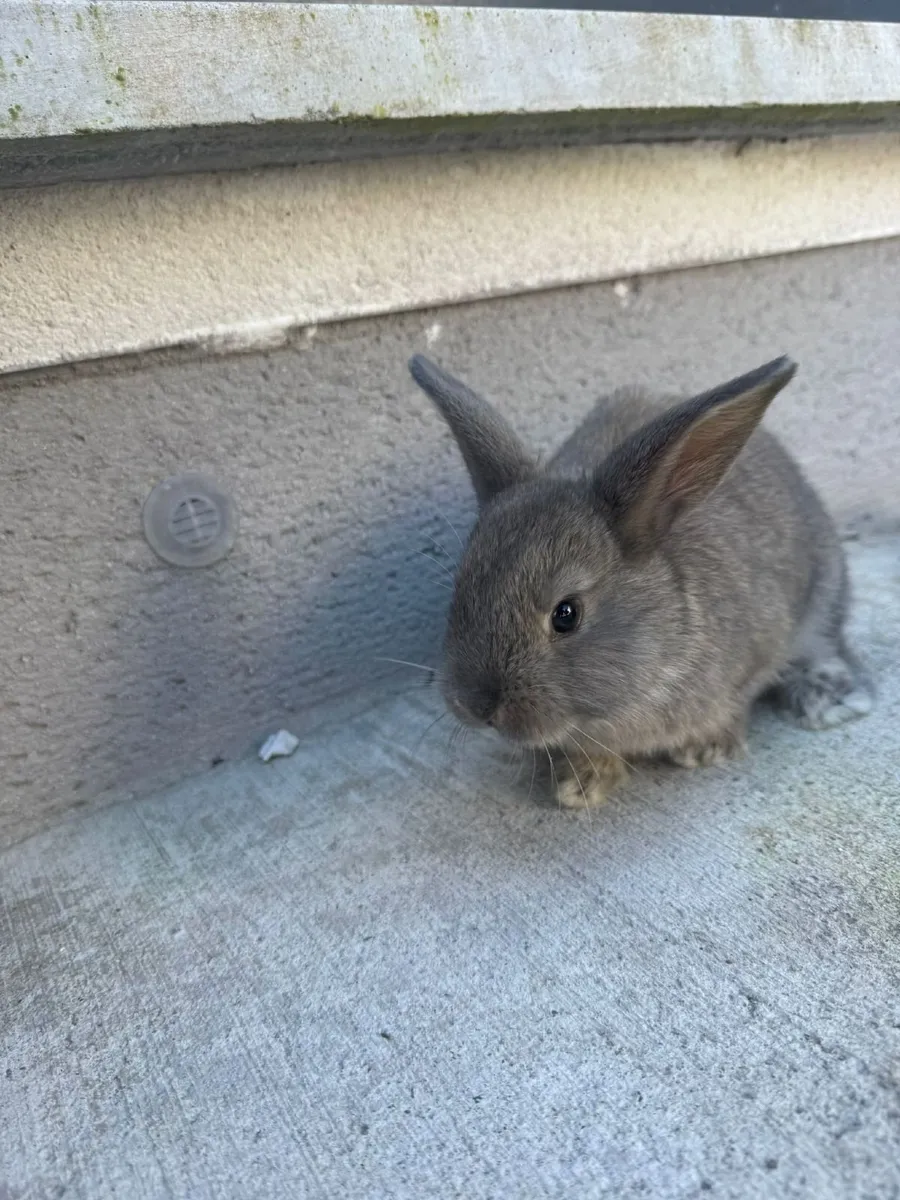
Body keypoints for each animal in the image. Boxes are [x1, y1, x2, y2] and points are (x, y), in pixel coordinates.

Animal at [408, 352, 873, 809]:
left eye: (566, 614)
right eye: (461, 591)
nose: (475, 706)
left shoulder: (758, 654)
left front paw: (705, 749)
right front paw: (582, 784)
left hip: (824, 595)